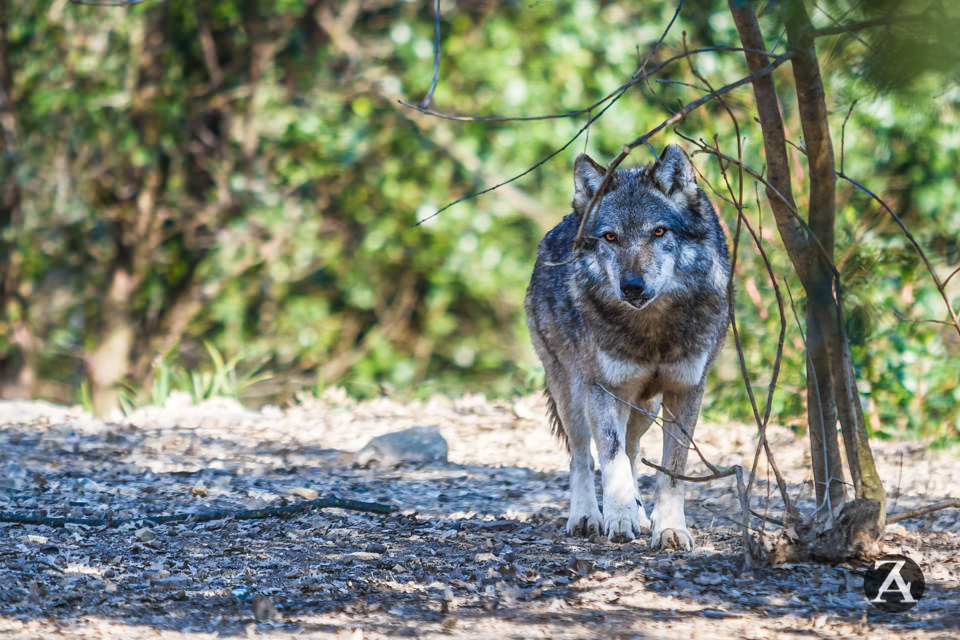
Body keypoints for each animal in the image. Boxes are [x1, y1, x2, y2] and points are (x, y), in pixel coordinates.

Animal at [524, 145, 728, 552]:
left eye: (659, 231)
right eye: (610, 237)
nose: (632, 286)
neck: (652, 330)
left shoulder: (685, 391)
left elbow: (672, 471)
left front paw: (669, 529)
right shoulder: (604, 390)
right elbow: (610, 460)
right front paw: (618, 521)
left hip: (646, 407)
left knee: (633, 450)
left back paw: (640, 513)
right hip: (572, 394)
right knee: (582, 456)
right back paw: (587, 516)